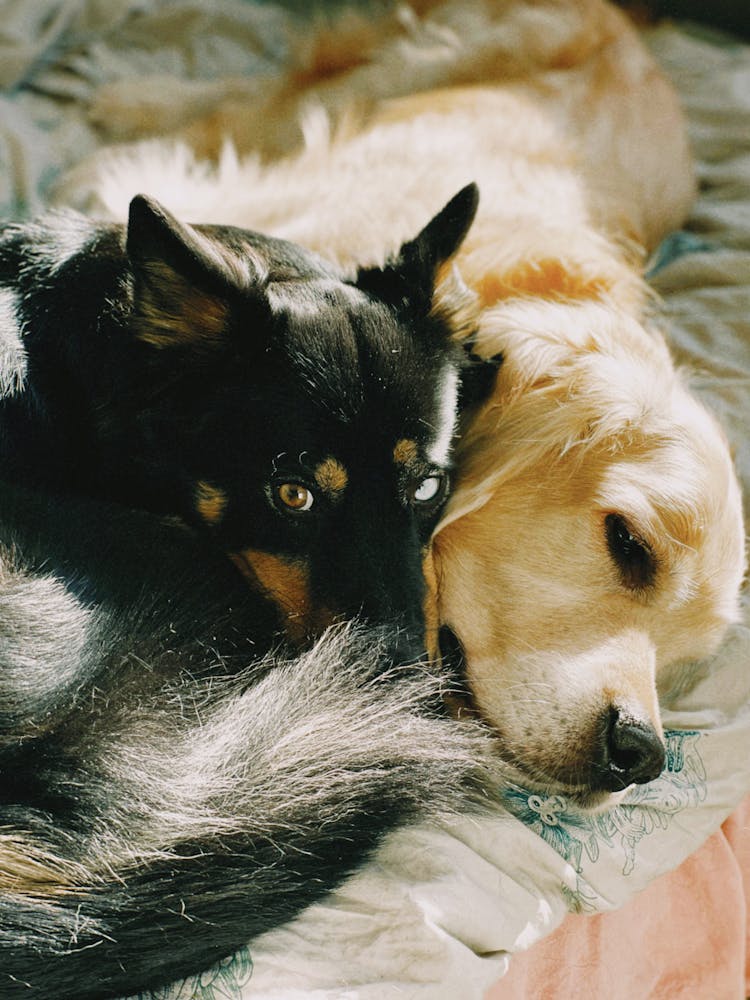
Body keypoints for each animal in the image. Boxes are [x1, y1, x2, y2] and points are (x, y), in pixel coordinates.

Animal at [67, 0, 748, 804]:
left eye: (684, 657)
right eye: (629, 545)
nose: (638, 756)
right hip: (403, 68)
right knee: (264, 98)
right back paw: (131, 111)